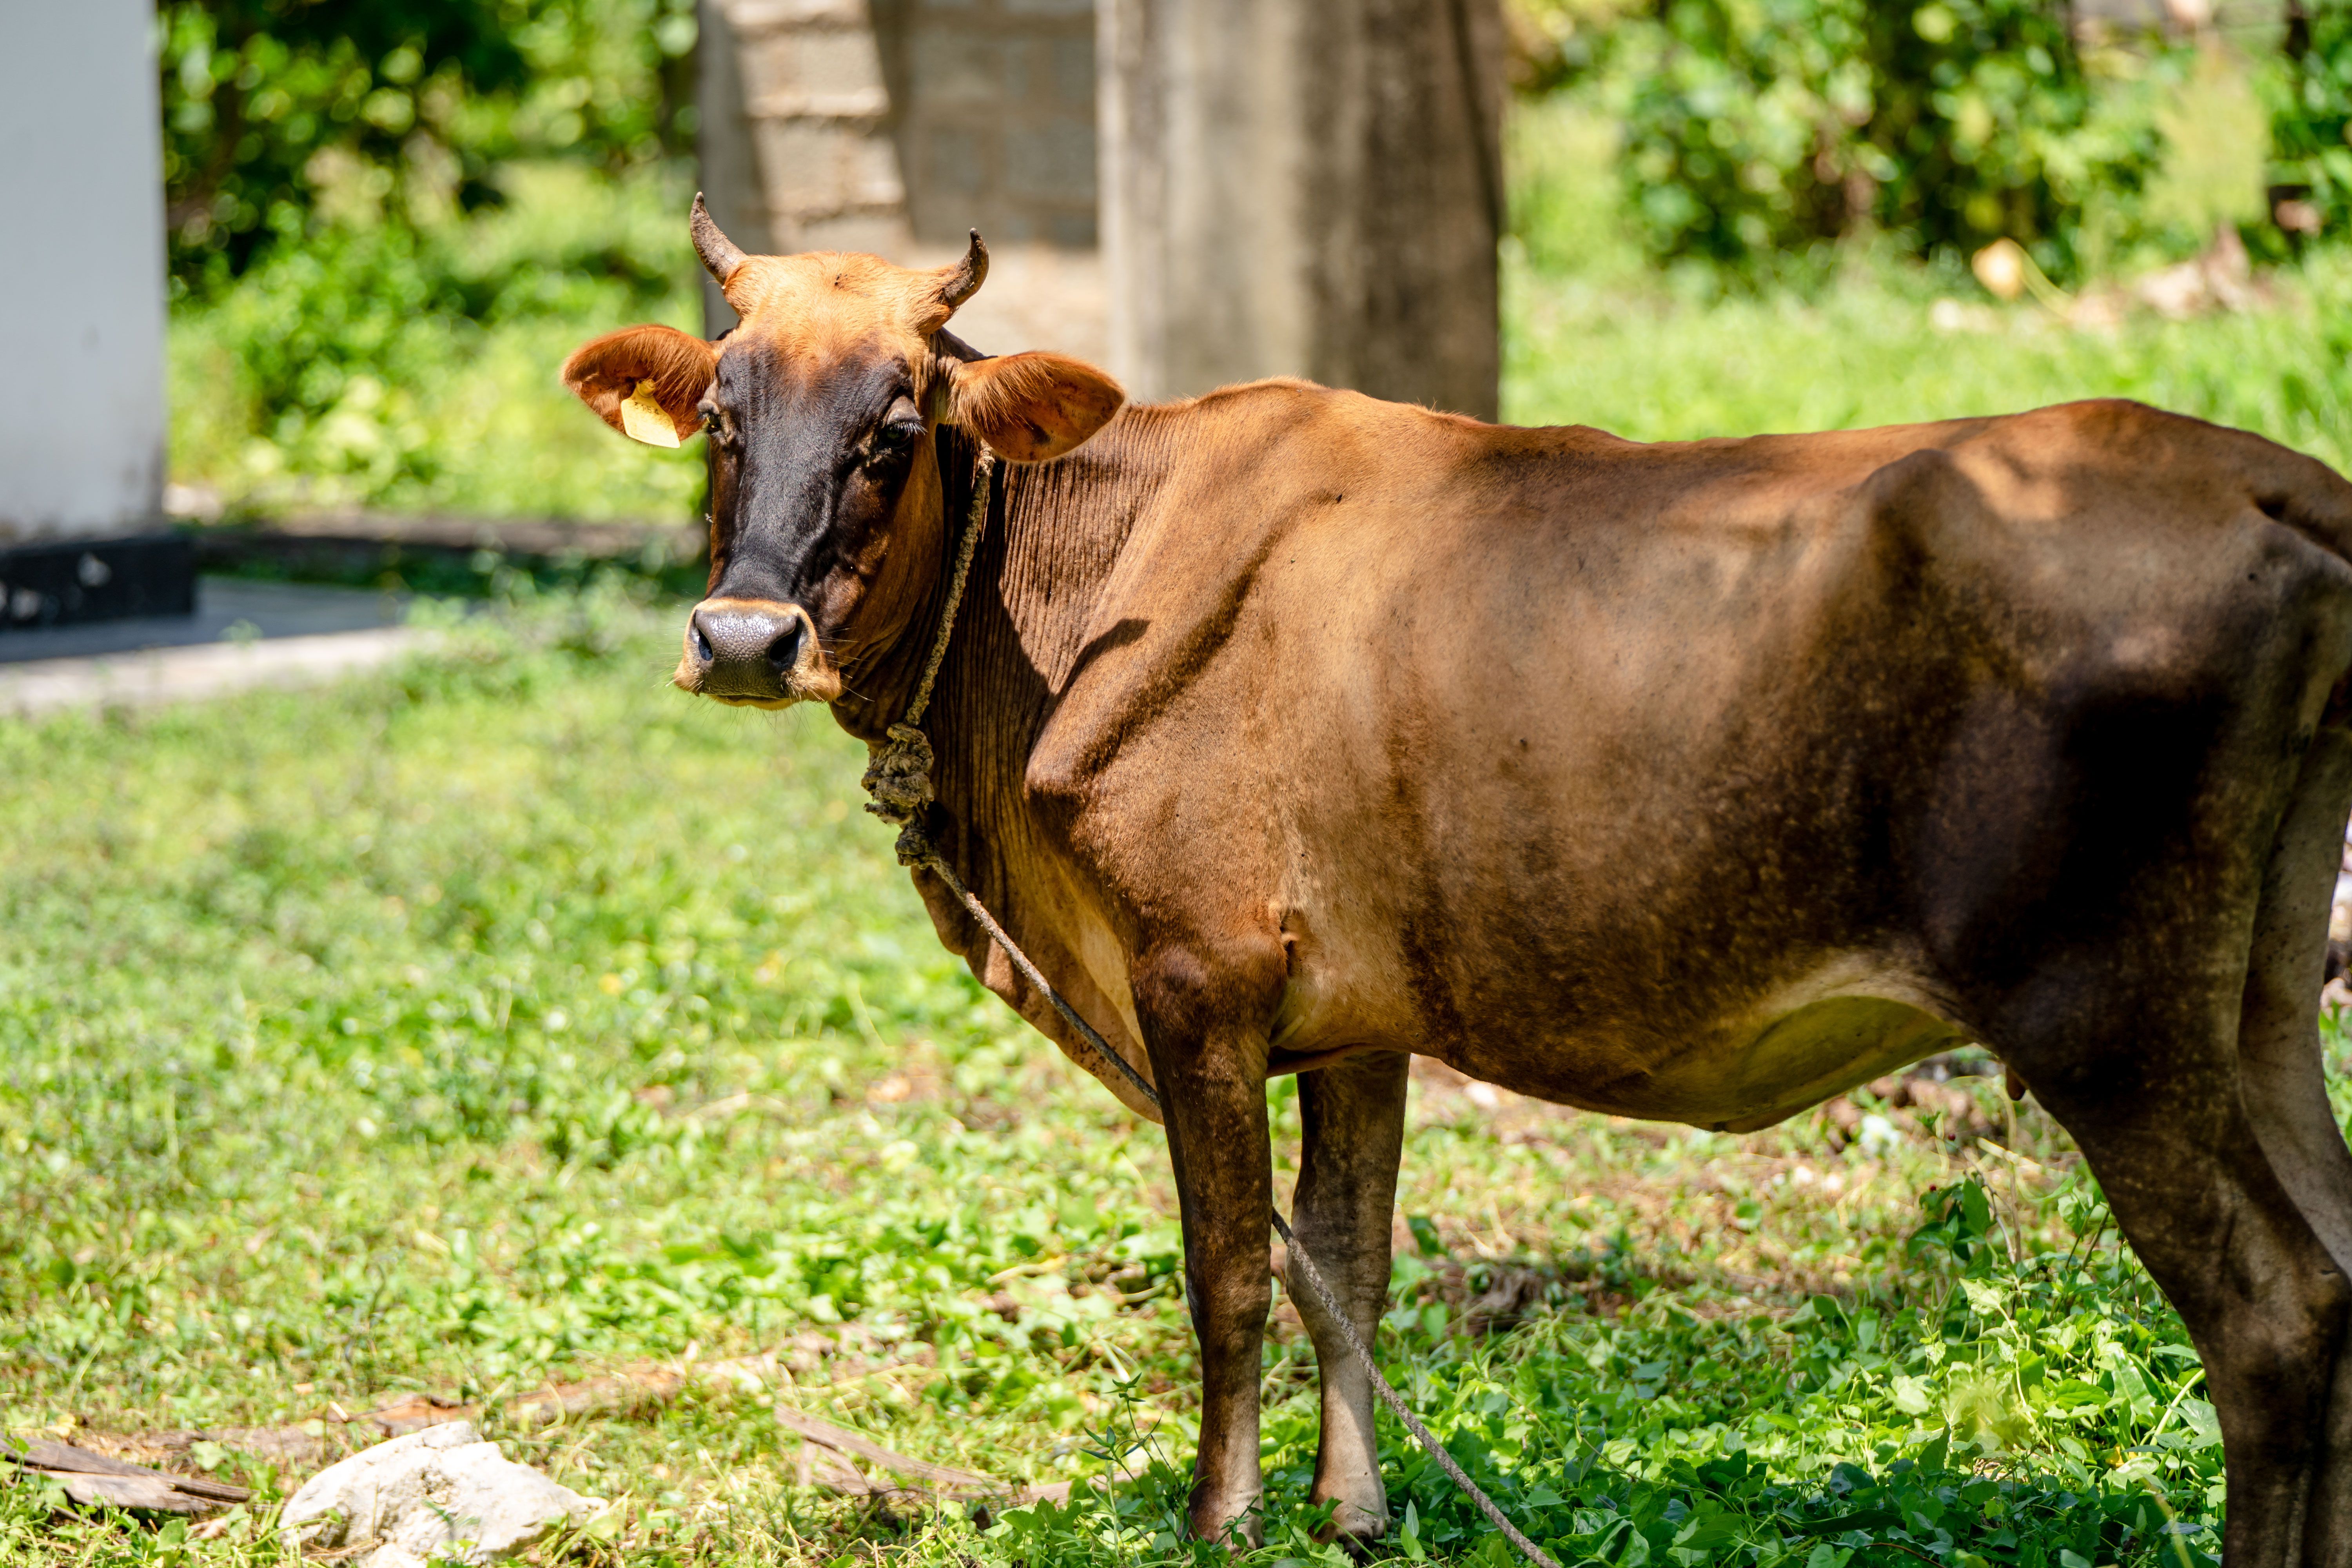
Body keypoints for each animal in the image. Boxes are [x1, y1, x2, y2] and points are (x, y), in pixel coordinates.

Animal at [563, 198, 2352, 1564]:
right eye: (722, 421)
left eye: (894, 431)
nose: (744, 636)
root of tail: (2262, 472)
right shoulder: (1359, 1015)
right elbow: (1348, 1264)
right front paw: (1352, 1515)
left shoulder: (1198, 976)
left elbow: (1232, 1272)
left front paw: (1223, 1522)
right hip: (2258, 1004)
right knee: (2336, 1273)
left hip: (2103, 1016)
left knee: (2270, 1317)